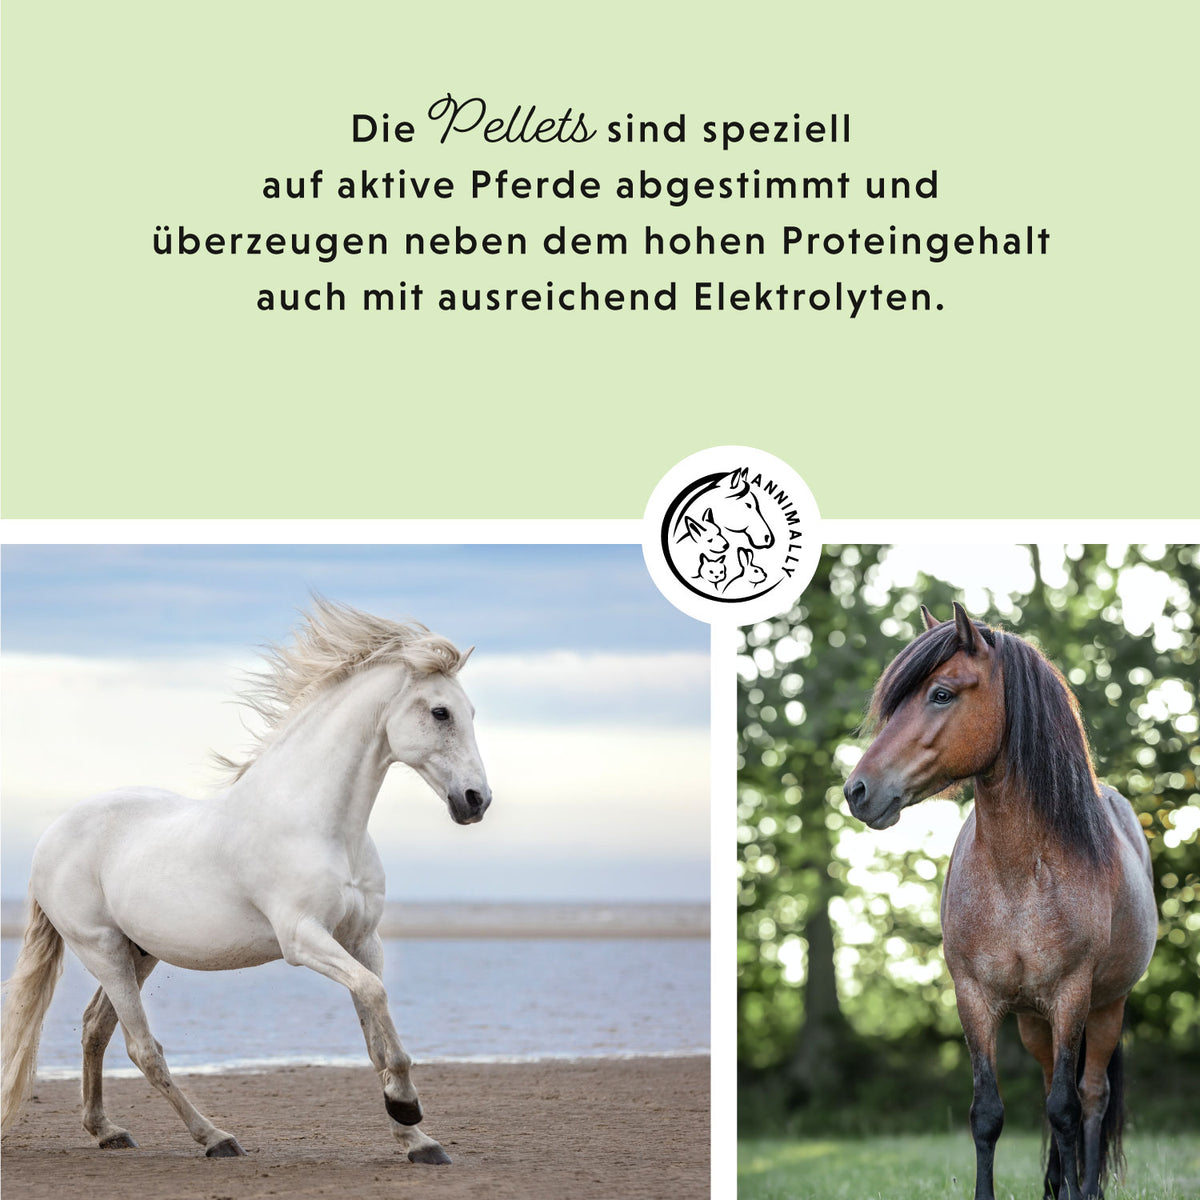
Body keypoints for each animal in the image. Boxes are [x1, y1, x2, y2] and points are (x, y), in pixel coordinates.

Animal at [1, 599, 492, 1166]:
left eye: (470, 713)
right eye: (440, 712)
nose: (476, 801)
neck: (322, 826)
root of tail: (51, 836)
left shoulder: (362, 941)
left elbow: (377, 1032)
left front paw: (418, 1141)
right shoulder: (304, 939)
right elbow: (375, 996)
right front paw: (407, 1108)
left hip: (137, 952)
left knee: (94, 1030)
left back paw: (107, 1131)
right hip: (100, 948)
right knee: (143, 1048)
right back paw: (215, 1138)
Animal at [843, 603, 1156, 1200]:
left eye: (941, 694)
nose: (857, 791)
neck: (1018, 880)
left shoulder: (1071, 996)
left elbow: (1066, 1109)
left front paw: (1077, 1188)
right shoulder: (975, 997)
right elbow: (988, 1113)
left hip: (1106, 1007)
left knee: (1091, 1098)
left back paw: (1084, 1187)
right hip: (1035, 1021)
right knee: (1052, 1086)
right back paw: (1055, 1185)